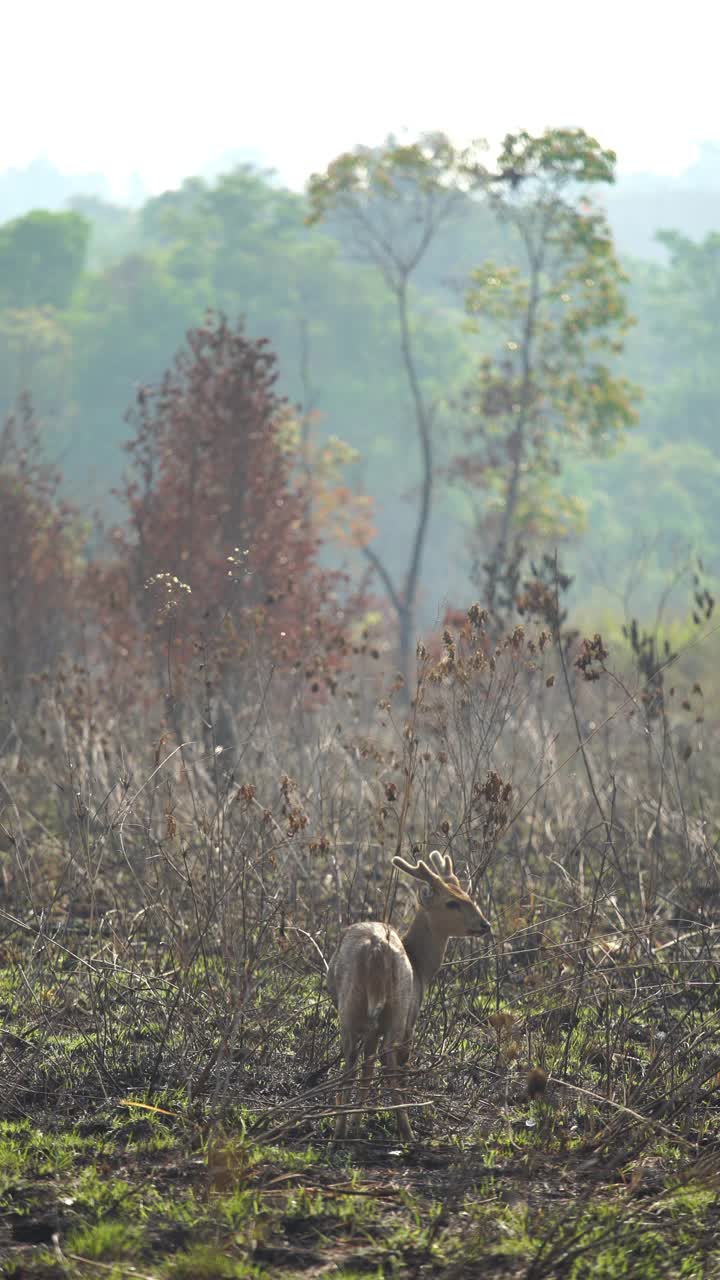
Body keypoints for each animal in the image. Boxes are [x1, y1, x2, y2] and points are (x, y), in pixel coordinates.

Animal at [325, 849, 486, 1141]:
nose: (485, 924)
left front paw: (358, 1118)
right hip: (398, 1010)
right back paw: (406, 1128)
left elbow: (367, 1069)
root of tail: (377, 949)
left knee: (350, 1064)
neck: (420, 965)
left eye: (468, 896)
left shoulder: (370, 1027)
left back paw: (339, 1130)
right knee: (390, 1063)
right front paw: (364, 1117)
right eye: (451, 903)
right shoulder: (412, 1014)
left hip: (350, 1007)